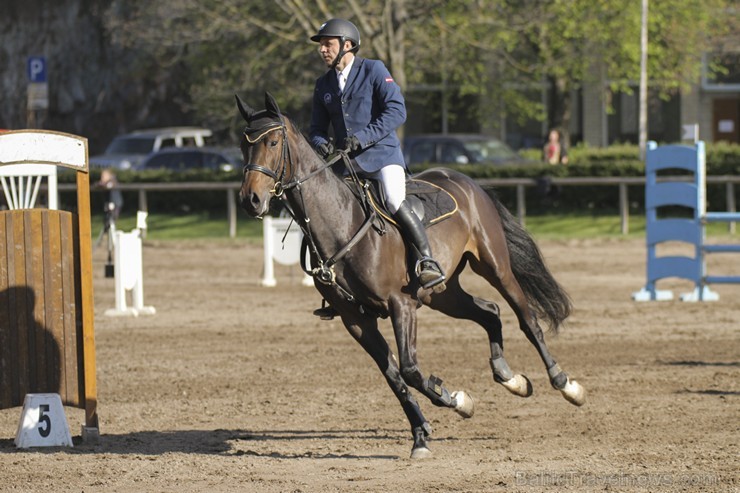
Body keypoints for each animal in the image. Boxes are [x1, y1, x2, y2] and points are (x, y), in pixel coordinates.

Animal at [237, 91, 584, 458]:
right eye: (244, 145)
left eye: (273, 142)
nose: (250, 200)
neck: (341, 223)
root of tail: (465, 180)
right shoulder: (355, 319)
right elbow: (394, 376)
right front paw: (424, 431)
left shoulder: (400, 305)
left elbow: (410, 370)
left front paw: (454, 398)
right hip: (442, 293)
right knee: (489, 312)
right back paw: (510, 378)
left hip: (494, 267)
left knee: (527, 320)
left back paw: (565, 384)